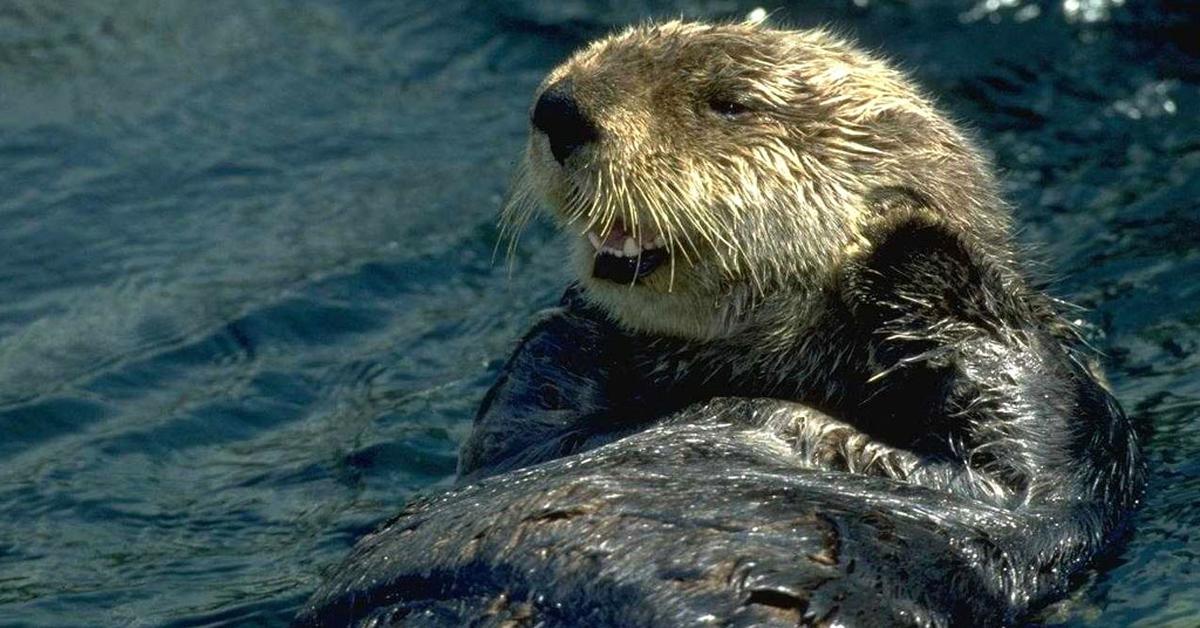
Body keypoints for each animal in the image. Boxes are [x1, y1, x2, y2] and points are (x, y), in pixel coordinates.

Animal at [297, 19, 1142, 628]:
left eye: (730, 103)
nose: (558, 107)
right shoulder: (523, 424)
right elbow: (526, 396)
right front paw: (585, 310)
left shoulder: (1078, 441)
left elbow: (1027, 431)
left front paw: (911, 243)